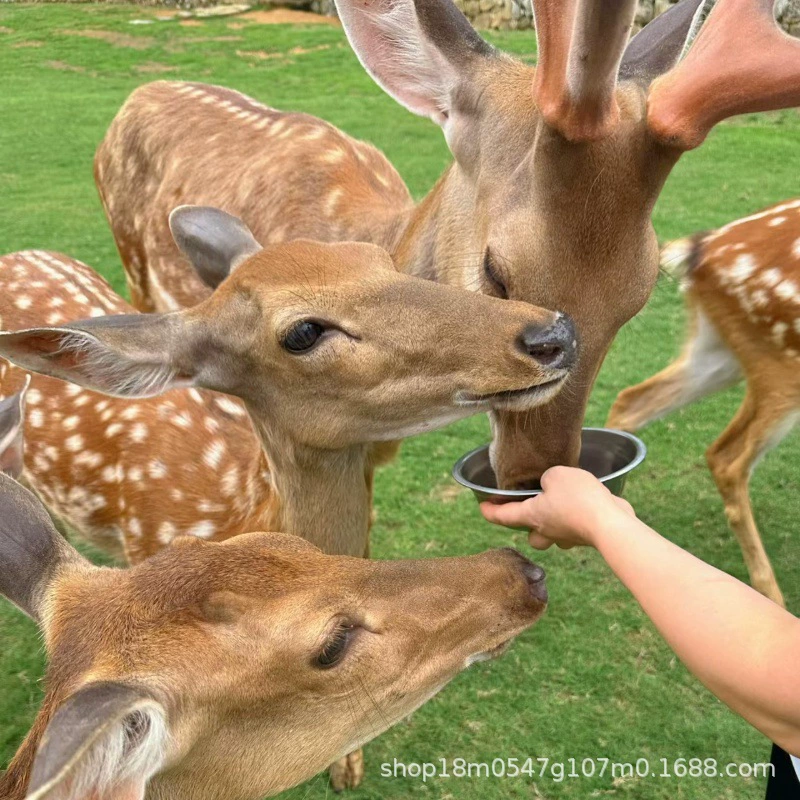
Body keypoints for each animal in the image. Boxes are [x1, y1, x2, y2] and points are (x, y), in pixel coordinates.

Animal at [608, 199, 800, 608]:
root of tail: (702, 249)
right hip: (783, 363)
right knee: (727, 459)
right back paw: (772, 596)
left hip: (718, 350)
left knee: (631, 401)